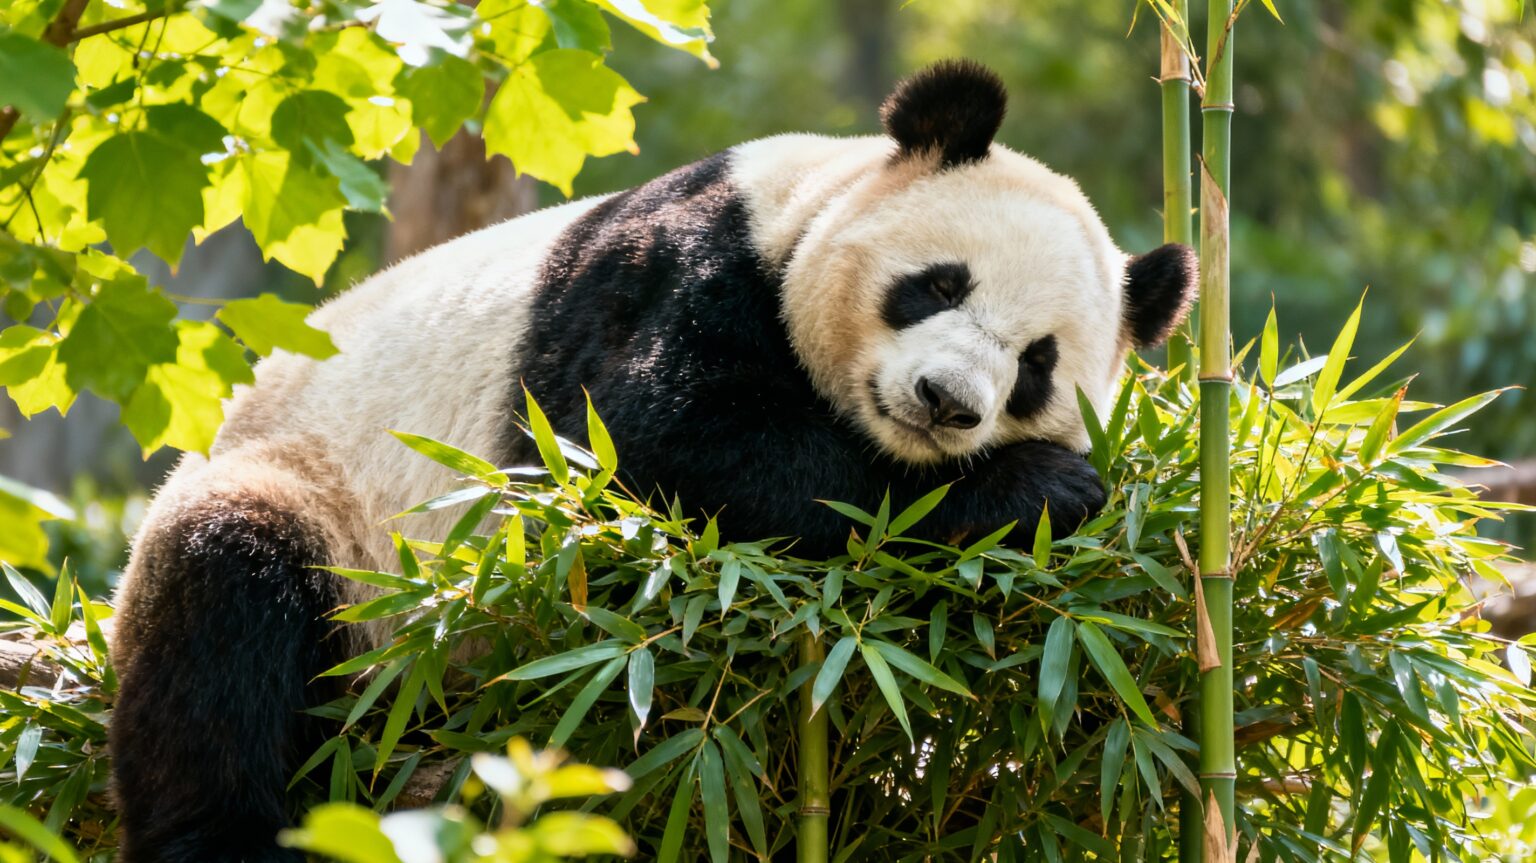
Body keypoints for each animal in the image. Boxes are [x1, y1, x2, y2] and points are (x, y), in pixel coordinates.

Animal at [108, 60, 1195, 861]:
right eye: (936, 284)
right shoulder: (680, 267)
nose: (946, 402)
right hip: (329, 519)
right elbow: (671, 449)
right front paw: (1033, 492)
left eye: (1037, 366)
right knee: (226, 613)